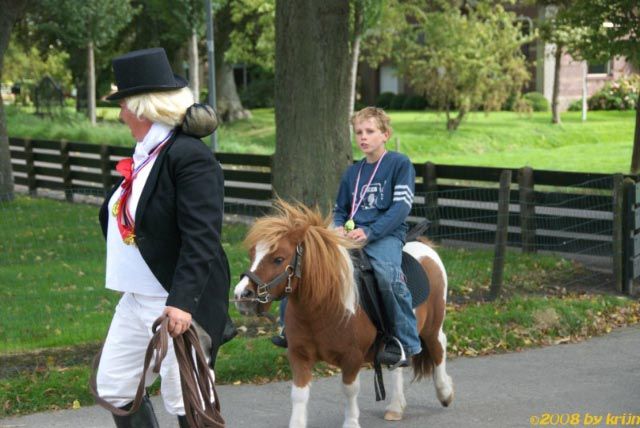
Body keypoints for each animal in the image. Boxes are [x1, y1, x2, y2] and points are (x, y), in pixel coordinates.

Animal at [232, 201, 452, 428]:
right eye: (252, 254)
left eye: (278, 259)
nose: (242, 295)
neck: (322, 306)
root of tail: (423, 246)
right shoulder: (299, 354)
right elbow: (299, 394)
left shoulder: (352, 357)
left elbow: (349, 390)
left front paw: (351, 422)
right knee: (399, 363)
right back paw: (395, 407)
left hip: (432, 326)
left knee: (439, 346)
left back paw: (444, 393)